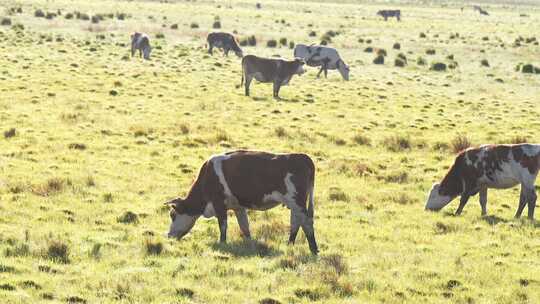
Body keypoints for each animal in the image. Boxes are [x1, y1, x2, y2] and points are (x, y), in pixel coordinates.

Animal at [162, 150, 318, 254]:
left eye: (172, 215)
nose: (169, 235)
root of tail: (303, 157)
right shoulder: (238, 207)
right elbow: (244, 227)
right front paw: (249, 244)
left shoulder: (219, 204)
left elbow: (223, 226)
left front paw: (222, 243)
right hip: (294, 204)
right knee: (296, 223)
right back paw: (290, 244)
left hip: (297, 202)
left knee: (306, 222)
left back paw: (314, 249)